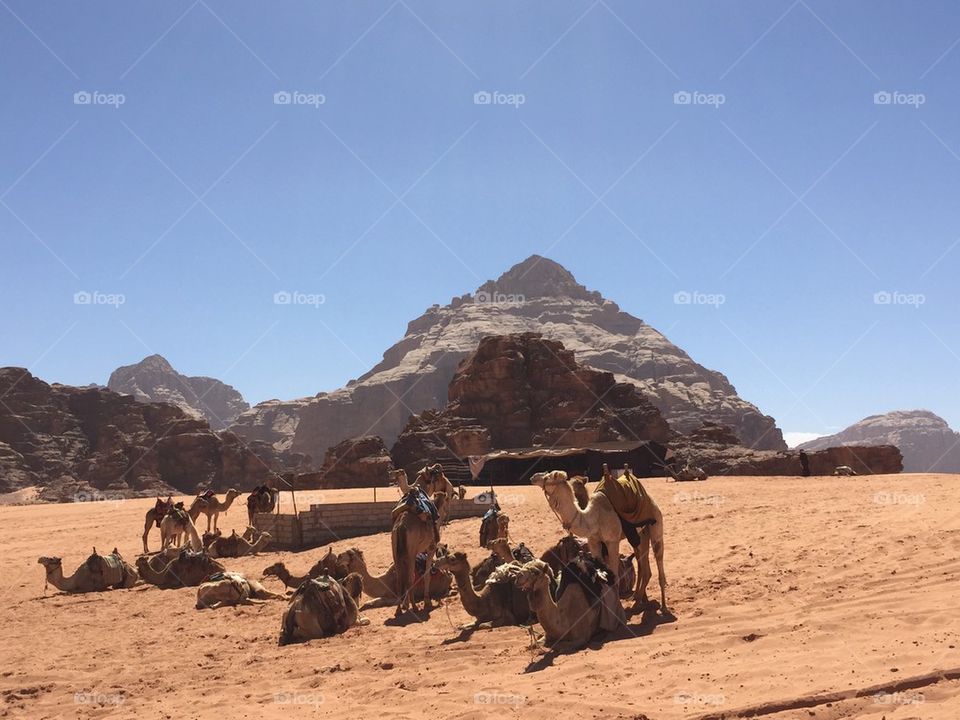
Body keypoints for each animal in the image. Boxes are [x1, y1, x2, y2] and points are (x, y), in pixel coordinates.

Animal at [528, 470, 672, 616]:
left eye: (547, 477)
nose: (533, 477)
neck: (592, 518)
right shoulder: (594, 542)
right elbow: (600, 574)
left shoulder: (612, 541)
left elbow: (615, 576)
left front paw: (618, 612)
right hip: (639, 535)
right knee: (644, 566)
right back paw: (637, 600)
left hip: (656, 524)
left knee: (658, 558)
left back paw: (663, 607)